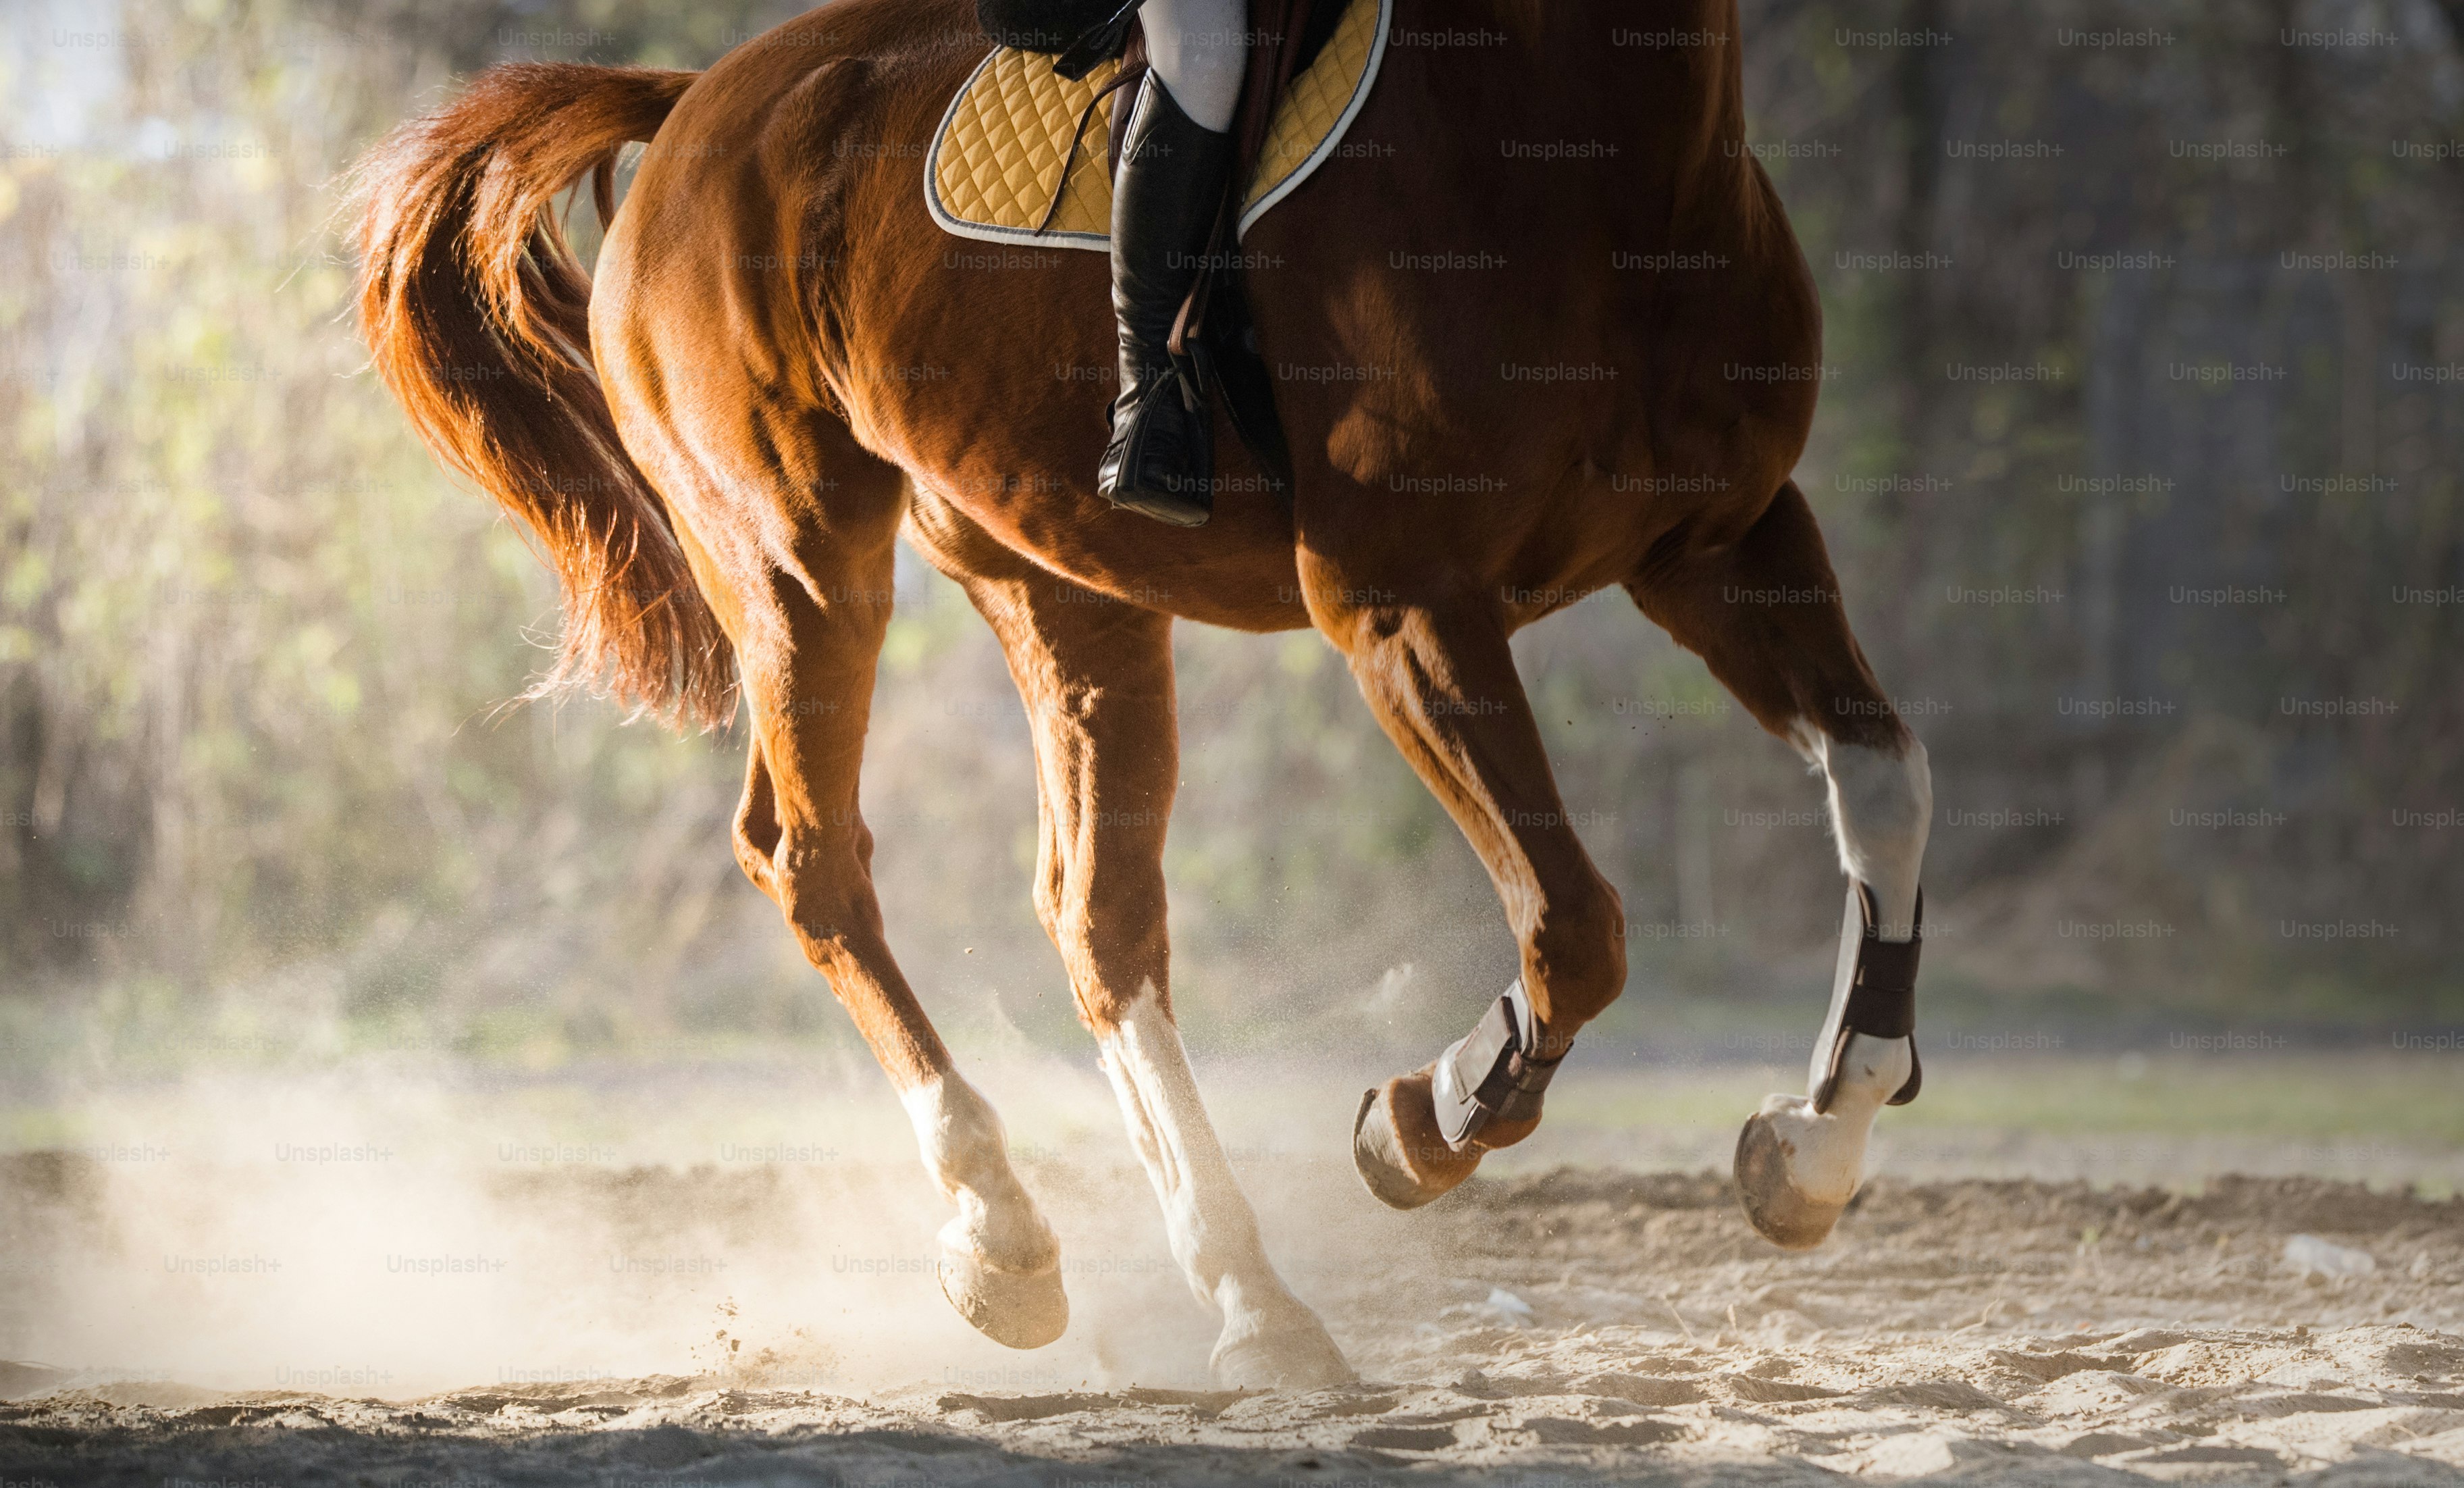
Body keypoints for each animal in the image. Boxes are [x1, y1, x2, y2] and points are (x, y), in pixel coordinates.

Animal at [350, 0, 1934, 1389]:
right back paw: (1004, 1235)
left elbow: (1885, 780)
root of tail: (692, 104)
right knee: (815, 865)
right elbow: (1574, 925)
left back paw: (1246, 1301)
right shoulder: (1403, 608)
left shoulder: (1724, 548)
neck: (1593, 141)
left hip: (1058, 583)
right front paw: (1423, 1117)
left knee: (1093, 919)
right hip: (796, 559)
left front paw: (1812, 1146)